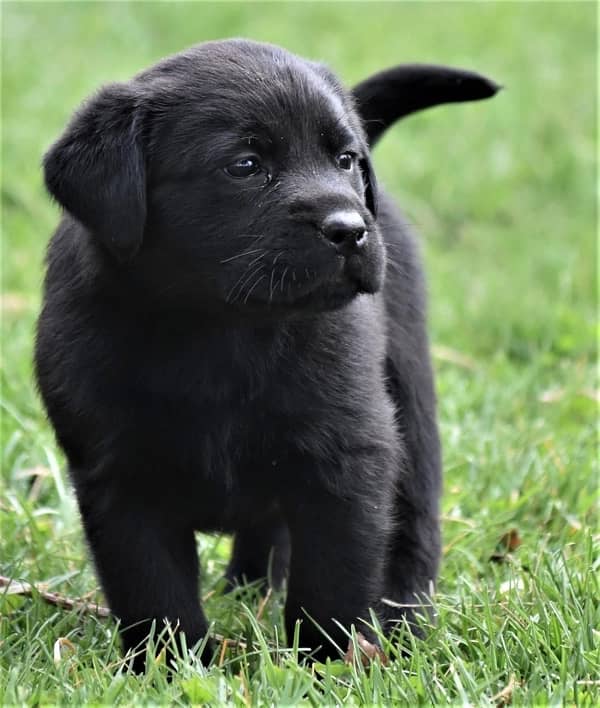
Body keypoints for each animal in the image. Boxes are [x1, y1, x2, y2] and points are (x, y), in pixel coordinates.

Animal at [35, 38, 500, 668]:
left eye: (345, 160)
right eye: (245, 165)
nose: (350, 228)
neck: (221, 331)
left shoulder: (346, 457)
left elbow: (331, 579)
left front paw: (327, 664)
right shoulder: (119, 475)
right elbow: (155, 591)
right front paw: (172, 668)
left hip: (409, 398)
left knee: (415, 525)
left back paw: (405, 624)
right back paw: (249, 587)